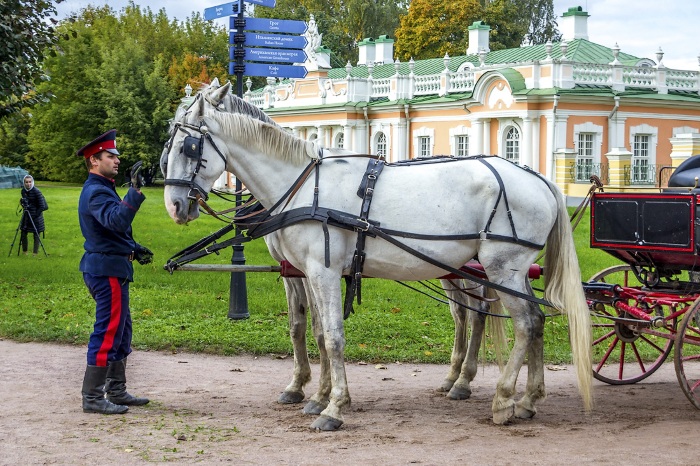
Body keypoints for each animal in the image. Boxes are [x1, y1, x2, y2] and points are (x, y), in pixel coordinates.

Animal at [163, 81, 592, 430]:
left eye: (188, 146)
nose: (174, 206)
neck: (302, 185)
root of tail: (538, 177)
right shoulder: (302, 272)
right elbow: (312, 331)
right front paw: (314, 394)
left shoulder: (322, 271)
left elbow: (333, 337)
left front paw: (333, 407)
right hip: (497, 272)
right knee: (519, 320)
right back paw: (525, 398)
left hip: (501, 269)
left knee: (522, 323)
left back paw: (502, 400)